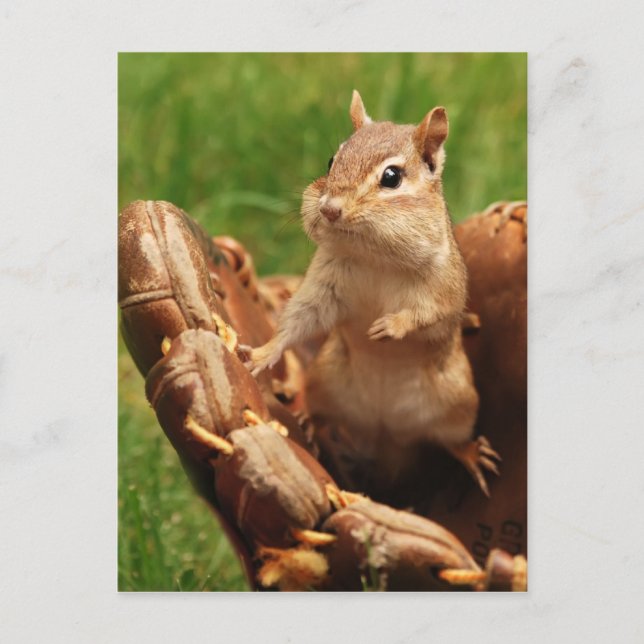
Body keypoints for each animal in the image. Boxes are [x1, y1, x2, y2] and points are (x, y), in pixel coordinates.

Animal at [248, 90, 500, 496]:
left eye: (392, 177)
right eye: (332, 160)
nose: (329, 209)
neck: (374, 258)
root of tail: (387, 434)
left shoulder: (442, 289)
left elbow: (431, 313)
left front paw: (391, 326)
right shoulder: (325, 287)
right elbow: (301, 318)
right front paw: (263, 353)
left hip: (458, 407)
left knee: (452, 441)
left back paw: (473, 455)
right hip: (324, 380)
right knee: (325, 416)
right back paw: (310, 422)